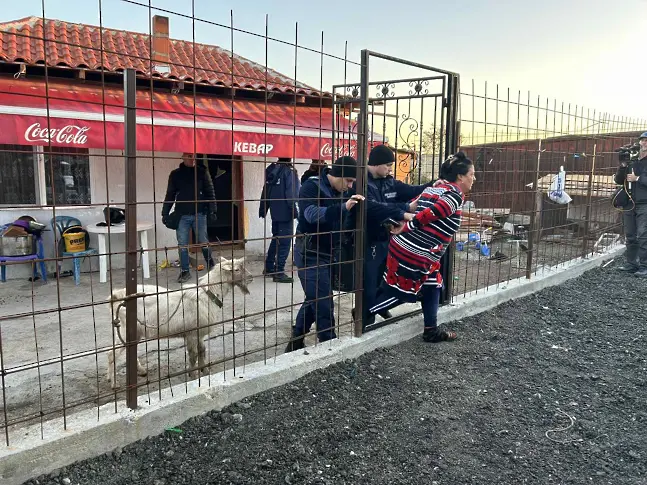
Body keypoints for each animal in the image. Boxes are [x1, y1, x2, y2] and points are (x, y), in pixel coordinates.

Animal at [106, 255, 253, 388]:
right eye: (237, 269)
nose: (251, 277)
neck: (208, 295)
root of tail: (116, 296)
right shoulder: (191, 333)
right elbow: (193, 355)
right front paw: (194, 376)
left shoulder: (199, 333)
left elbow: (202, 350)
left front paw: (205, 371)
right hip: (126, 329)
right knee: (111, 354)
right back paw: (114, 383)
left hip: (133, 330)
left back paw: (138, 372)